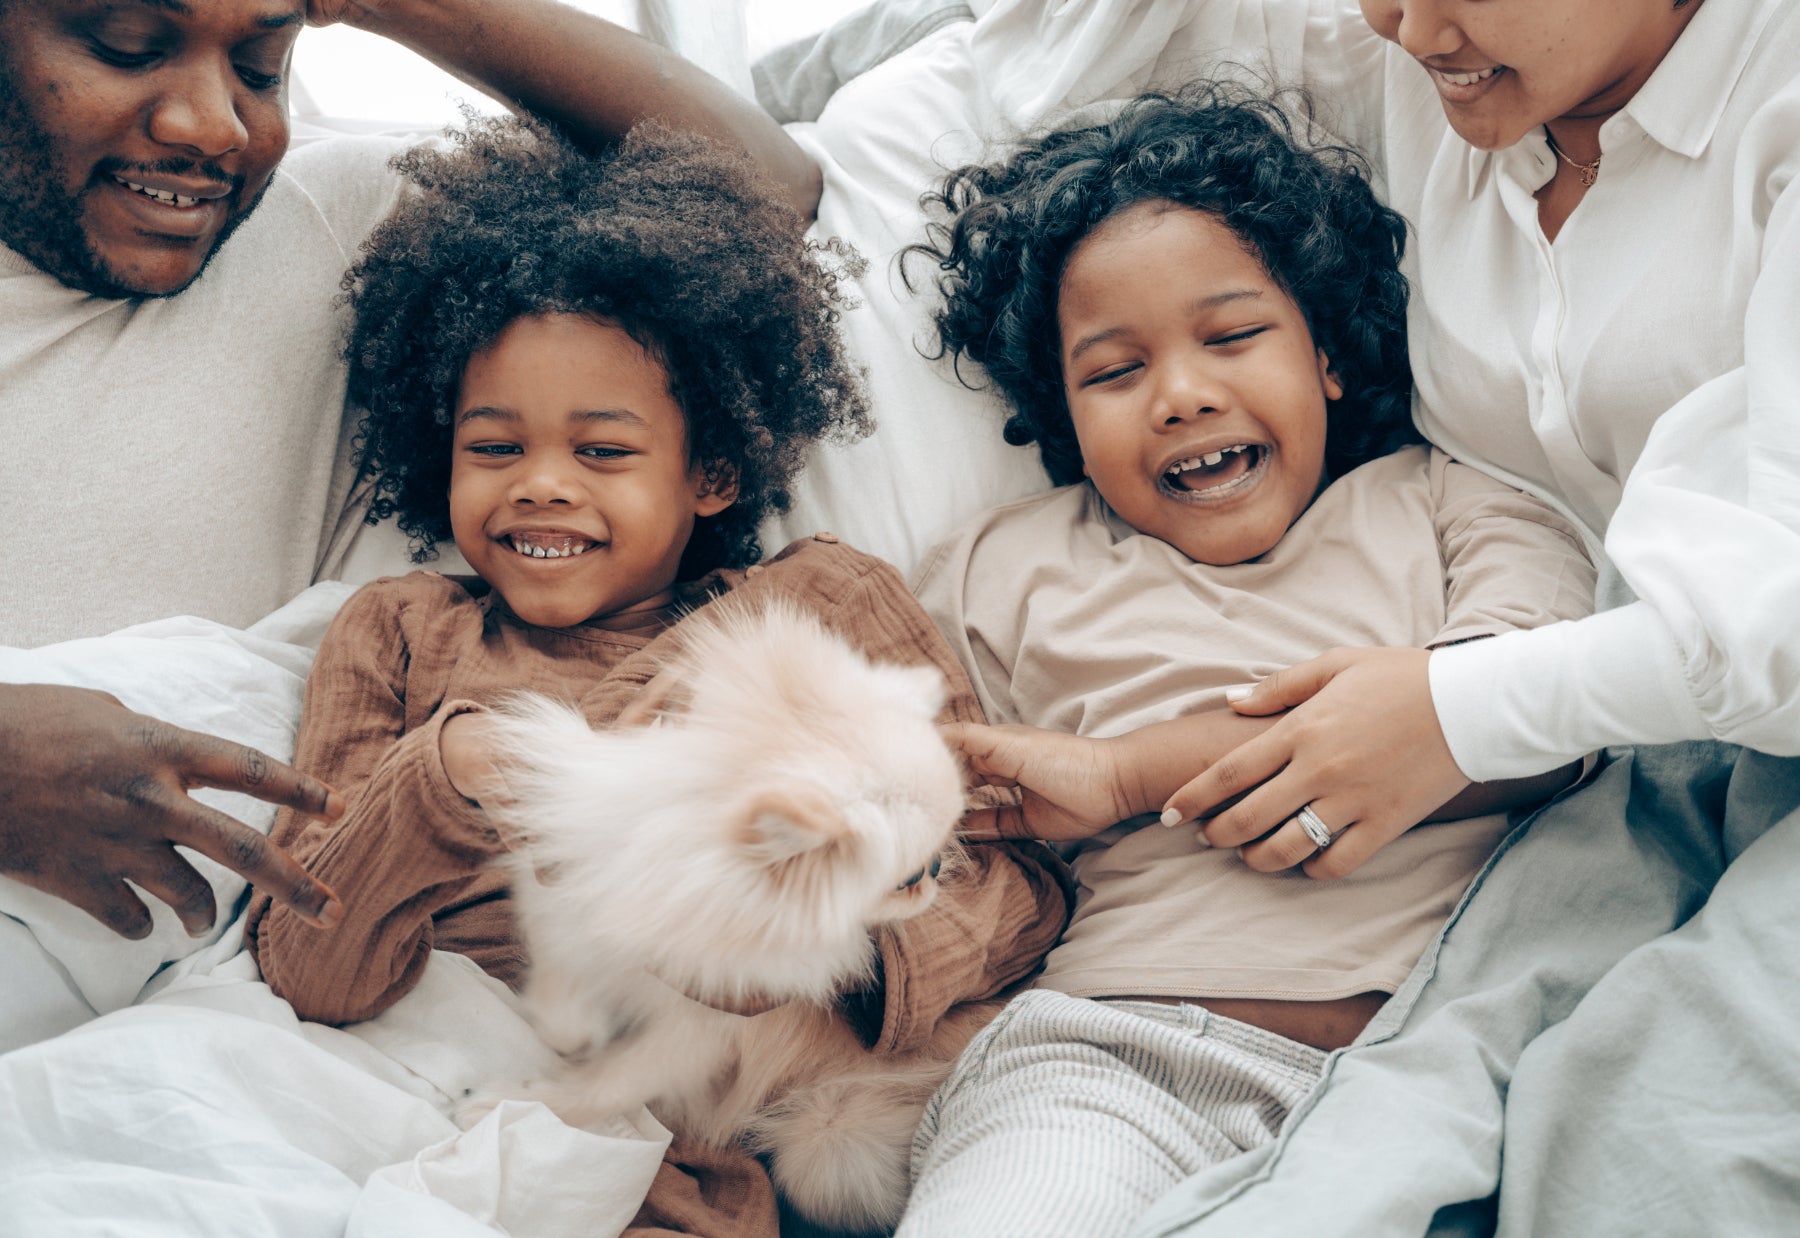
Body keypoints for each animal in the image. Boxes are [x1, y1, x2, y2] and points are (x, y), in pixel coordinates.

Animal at [471, 601, 993, 1230]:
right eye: (907, 879)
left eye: (921, 870)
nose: (937, 870)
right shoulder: (565, 903)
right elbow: (560, 1001)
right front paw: (573, 1034)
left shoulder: (703, 1033)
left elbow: (608, 1086)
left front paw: (522, 1101)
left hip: (828, 1147)